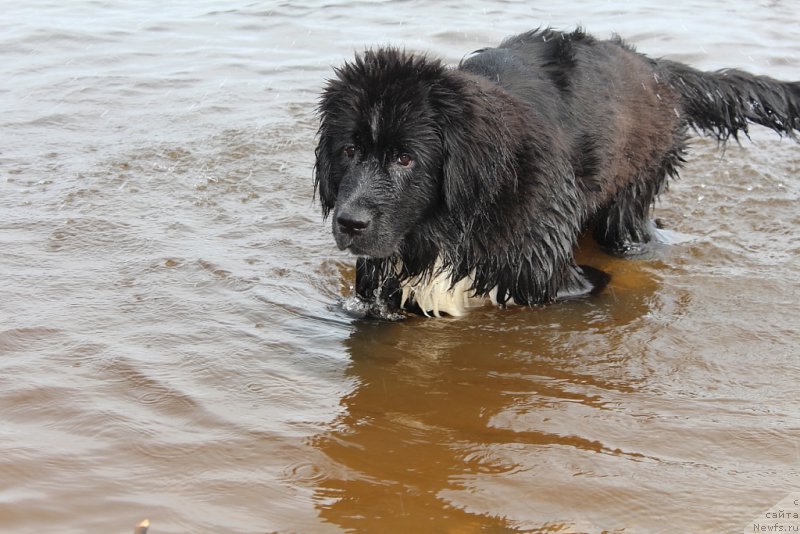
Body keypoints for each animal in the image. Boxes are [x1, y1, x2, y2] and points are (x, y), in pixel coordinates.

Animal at [314, 28, 800, 318]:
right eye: (350, 150)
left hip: (628, 202)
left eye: (406, 158)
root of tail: (654, 67)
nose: (350, 223)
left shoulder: (554, 279)